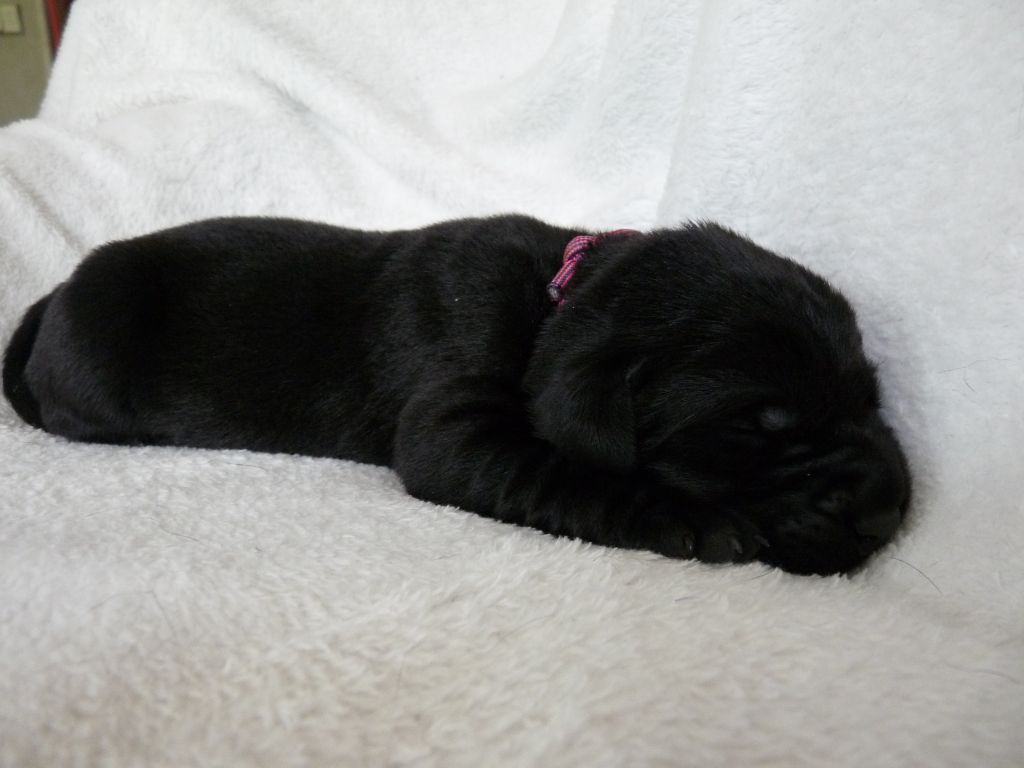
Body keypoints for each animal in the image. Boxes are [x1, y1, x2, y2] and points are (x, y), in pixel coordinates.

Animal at [3, 215, 910, 574]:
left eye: (871, 399)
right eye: (759, 428)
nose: (887, 508)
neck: (556, 301)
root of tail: (52, 296)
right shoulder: (449, 422)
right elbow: (565, 470)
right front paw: (691, 518)